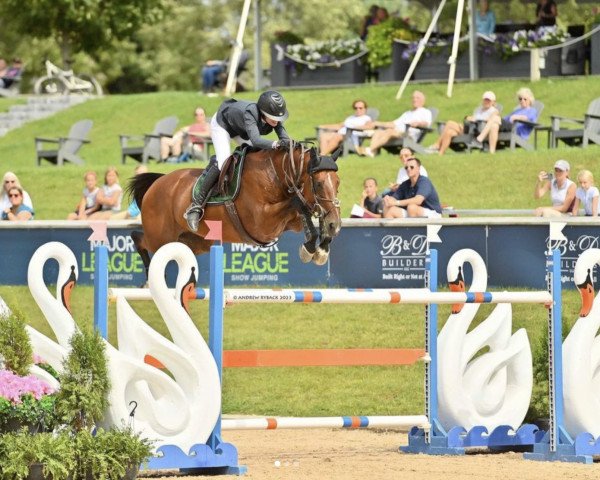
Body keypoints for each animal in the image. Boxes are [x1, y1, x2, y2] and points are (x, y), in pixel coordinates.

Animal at [127, 142, 342, 278]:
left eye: (338, 182)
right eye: (319, 184)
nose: (336, 224)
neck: (276, 175)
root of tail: (157, 183)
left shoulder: (290, 222)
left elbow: (304, 215)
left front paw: (320, 248)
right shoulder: (263, 225)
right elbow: (296, 204)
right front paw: (314, 247)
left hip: (195, 242)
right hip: (160, 238)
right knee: (139, 238)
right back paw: (149, 276)